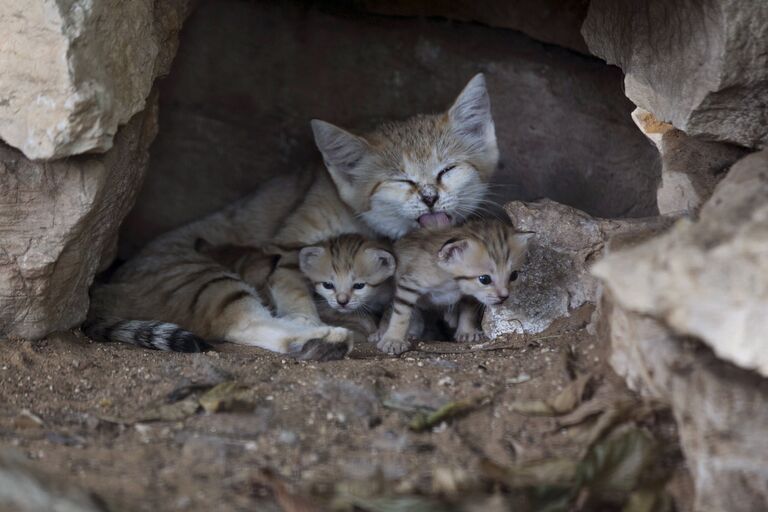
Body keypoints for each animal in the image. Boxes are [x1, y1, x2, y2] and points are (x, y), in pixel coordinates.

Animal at [87, 73, 500, 360]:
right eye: (402, 180)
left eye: (448, 170)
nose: (430, 197)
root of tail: (102, 291)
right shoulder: (288, 246)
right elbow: (295, 291)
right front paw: (319, 319)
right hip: (200, 276)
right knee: (244, 323)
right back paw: (323, 338)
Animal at [378, 220, 536, 356]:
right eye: (484, 279)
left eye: (514, 275)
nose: (504, 296)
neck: (452, 282)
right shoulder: (410, 284)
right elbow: (401, 314)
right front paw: (393, 339)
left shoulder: (470, 295)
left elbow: (468, 312)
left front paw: (467, 332)